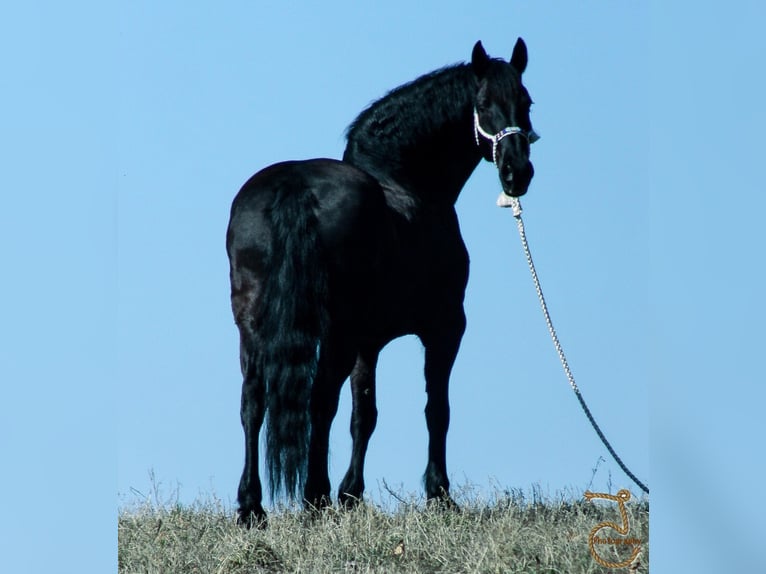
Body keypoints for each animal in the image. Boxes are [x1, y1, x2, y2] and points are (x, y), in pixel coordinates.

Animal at [228, 38, 540, 528]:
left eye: (525, 103)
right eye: (484, 103)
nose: (516, 172)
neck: (406, 180)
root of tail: (294, 186)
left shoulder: (368, 342)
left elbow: (365, 413)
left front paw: (352, 494)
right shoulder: (445, 328)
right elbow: (436, 409)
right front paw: (439, 494)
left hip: (254, 325)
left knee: (253, 401)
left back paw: (252, 506)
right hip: (335, 331)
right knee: (320, 401)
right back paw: (314, 498)